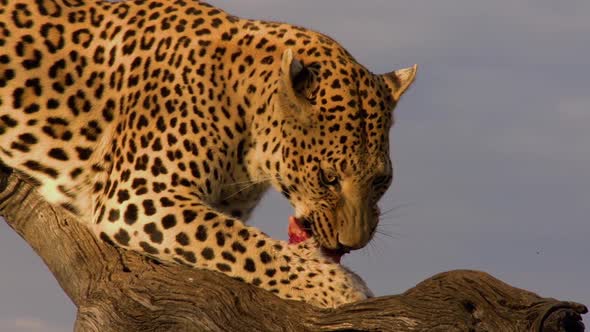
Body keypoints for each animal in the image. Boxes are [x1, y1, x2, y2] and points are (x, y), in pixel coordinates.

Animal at [0, 0, 416, 308]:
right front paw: (341, 286)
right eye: (328, 177)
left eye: (381, 180)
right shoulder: (140, 196)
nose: (352, 244)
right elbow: (245, 244)